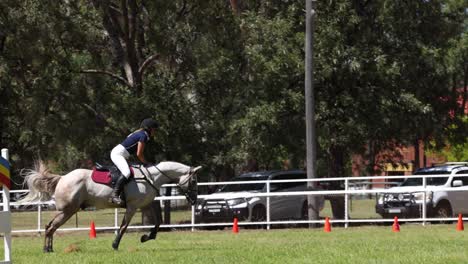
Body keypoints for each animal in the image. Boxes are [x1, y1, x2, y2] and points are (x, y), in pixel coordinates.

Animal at [20, 160, 201, 253]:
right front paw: (115, 245)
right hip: (68, 210)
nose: (194, 200)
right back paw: (47, 249)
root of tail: (62, 178)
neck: (151, 177)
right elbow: (123, 227)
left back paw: (49, 249)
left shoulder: (145, 205)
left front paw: (146, 237)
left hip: (68, 210)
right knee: (51, 227)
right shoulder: (132, 207)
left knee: (50, 227)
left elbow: (158, 222)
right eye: (193, 181)